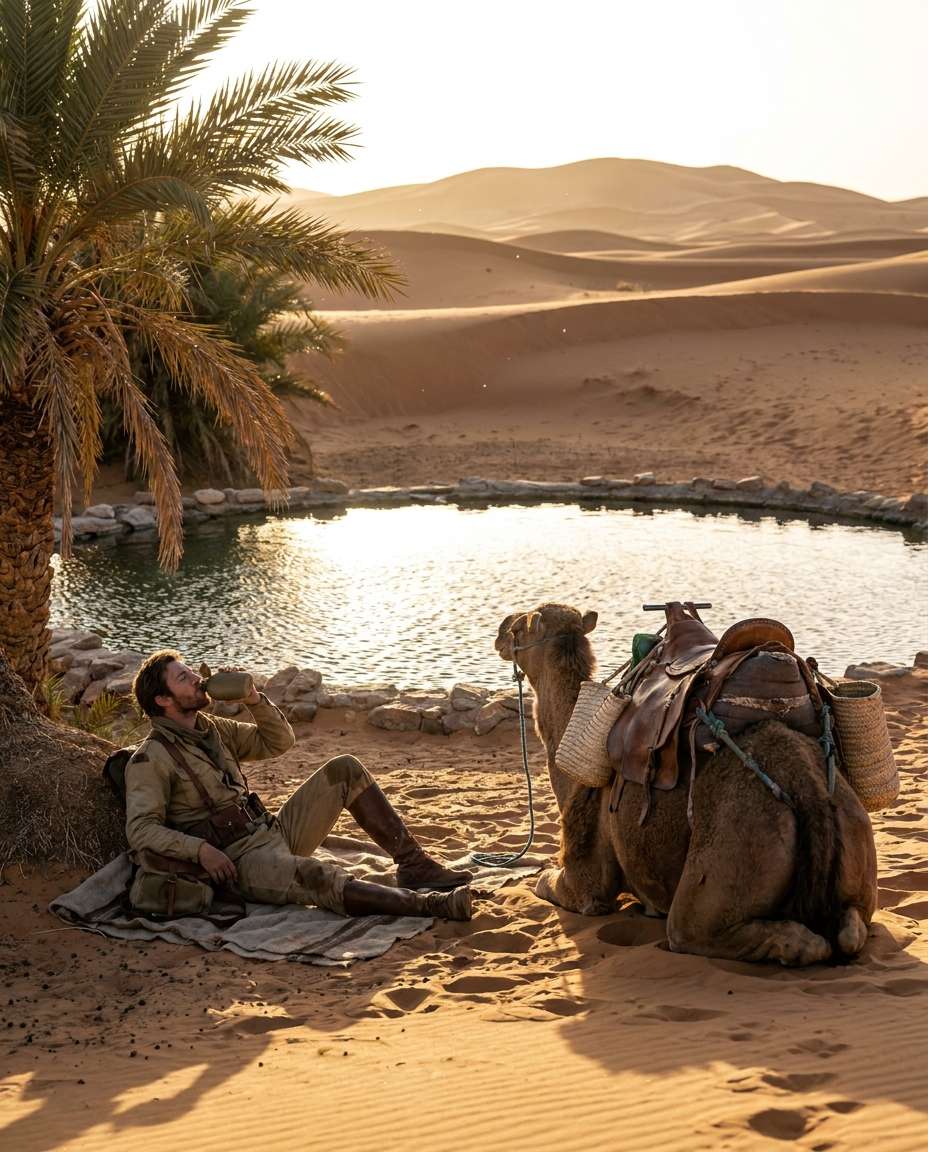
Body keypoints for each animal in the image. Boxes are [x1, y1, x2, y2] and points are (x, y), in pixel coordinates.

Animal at [495, 603, 878, 966]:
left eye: (519, 628)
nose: (500, 631)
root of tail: (806, 786)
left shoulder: (586, 881)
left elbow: (547, 882)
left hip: (728, 855)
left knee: (707, 931)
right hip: (851, 830)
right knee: (849, 928)